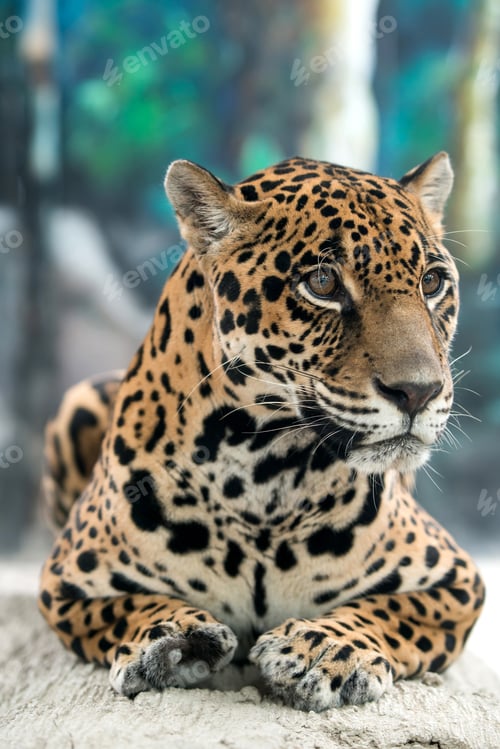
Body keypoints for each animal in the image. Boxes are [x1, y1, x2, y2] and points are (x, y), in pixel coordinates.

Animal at [39, 152, 485, 712]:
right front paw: (170, 636)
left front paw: (326, 648)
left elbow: (389, 614)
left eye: (431, 282)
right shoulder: (63, 582)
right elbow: (125, 607)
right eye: (322, 283)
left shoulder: (458, 581)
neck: (264, 470)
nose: (419, 392)